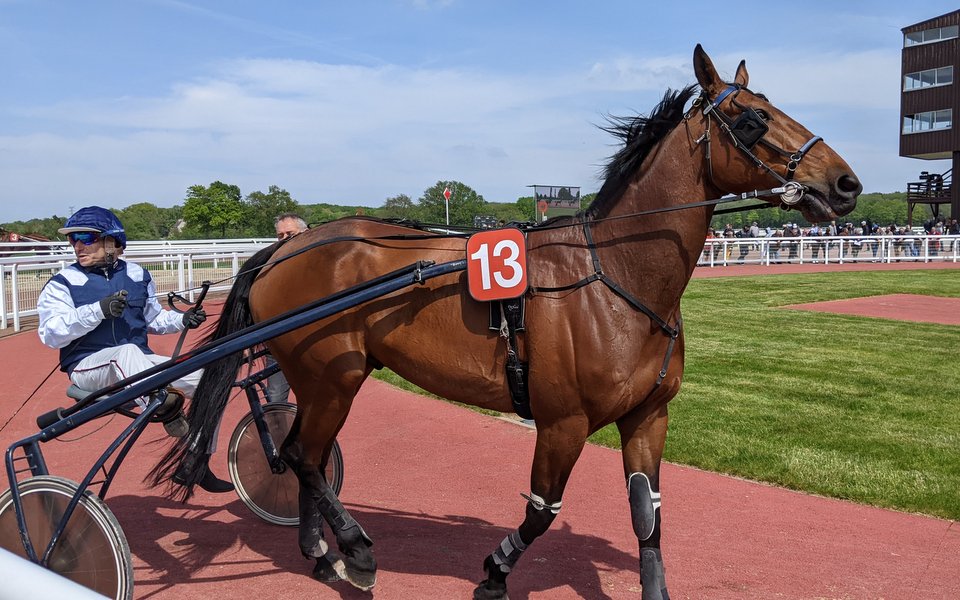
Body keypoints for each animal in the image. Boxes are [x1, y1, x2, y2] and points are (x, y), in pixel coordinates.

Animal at [154, 47, 860, 600]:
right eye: (750, 117)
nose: (846, 183)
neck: (614, 277)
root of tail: (284, 247)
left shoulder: (648, 416)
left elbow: (648, 517)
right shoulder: (562, 421)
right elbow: (543, 511)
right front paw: (494, 571)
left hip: (323, 378)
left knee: (307, 455)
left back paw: (322, 555)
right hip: (333, 375)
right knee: (302, 455)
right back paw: (356, 550)